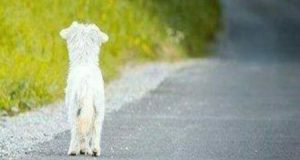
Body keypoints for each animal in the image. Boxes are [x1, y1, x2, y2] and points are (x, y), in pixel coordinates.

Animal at [59, 21, 108, 156]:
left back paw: (73, 150)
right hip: (98, 108)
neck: (84, 61)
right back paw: (95, 150)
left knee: (76, 130)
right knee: (95, 130)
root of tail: (86, 85)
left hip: (74, 108)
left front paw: (82, 149)